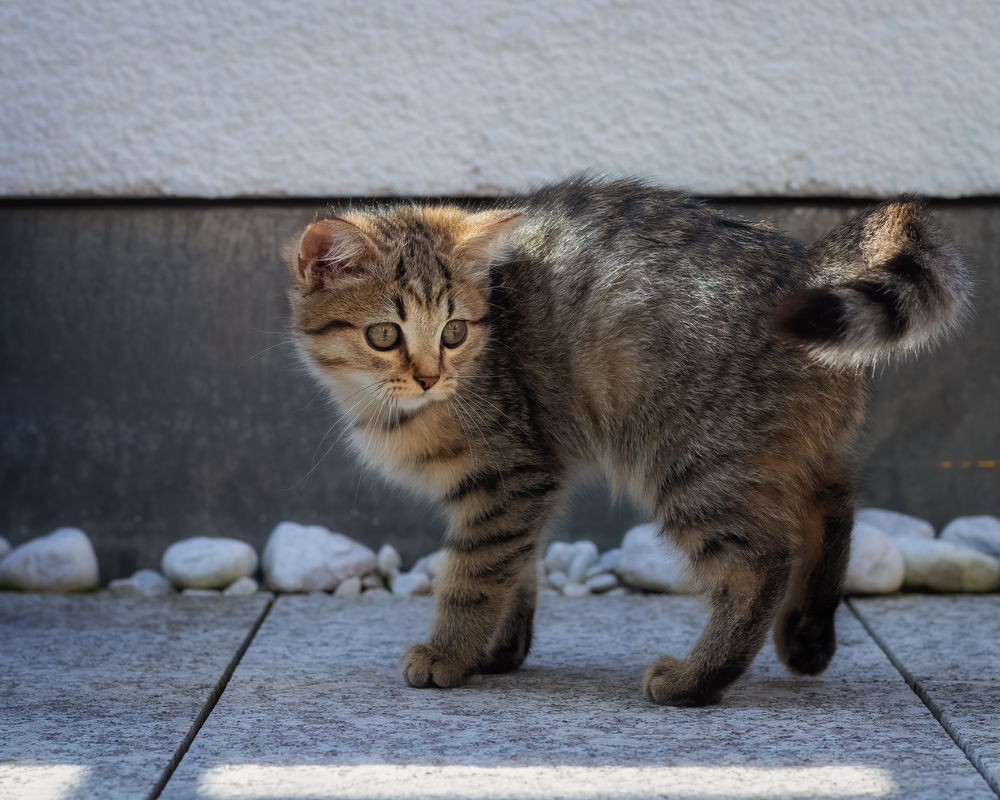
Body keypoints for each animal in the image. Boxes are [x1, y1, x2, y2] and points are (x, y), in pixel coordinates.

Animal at [284, 177, 968, 708]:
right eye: (384, 334)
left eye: (454, 331)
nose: (430, 375)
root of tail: (808, 269)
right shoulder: (535, 478)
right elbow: (516, 564)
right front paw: (500, 649)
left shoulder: (510, 475)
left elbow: (476, 572)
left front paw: (450, 653)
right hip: (780, 446)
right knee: (835, 500)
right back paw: (807, 634)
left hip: (691, 460)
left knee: (761, 562)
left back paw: (697, 679)